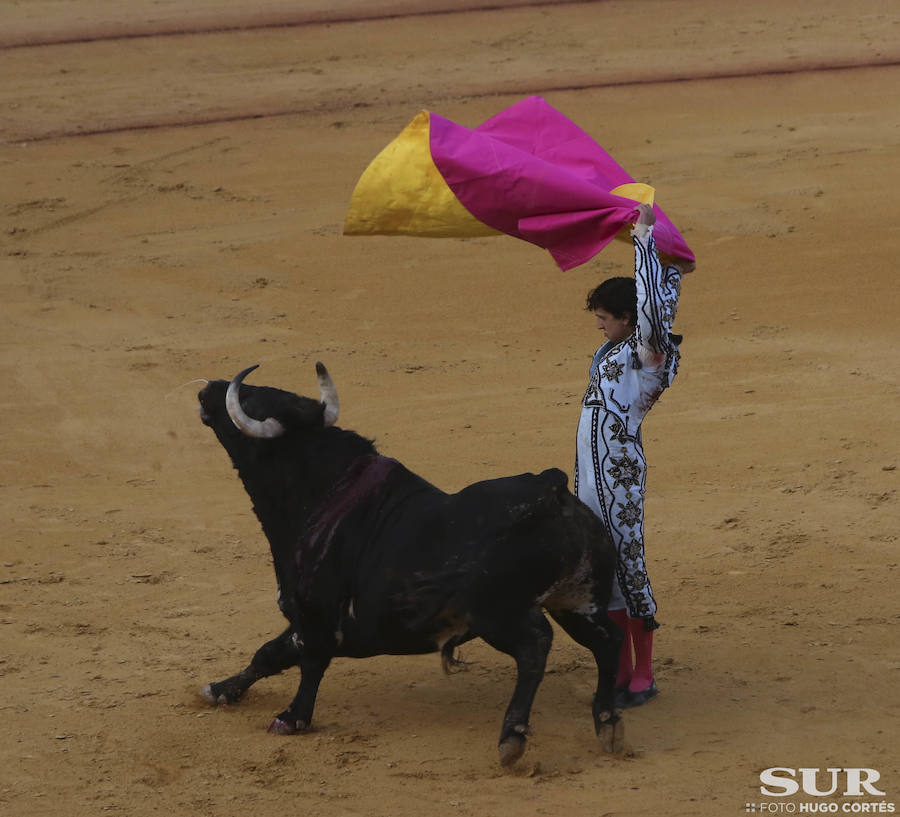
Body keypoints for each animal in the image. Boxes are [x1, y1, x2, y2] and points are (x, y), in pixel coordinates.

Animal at [195, 364, 624, 764]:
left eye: (251, 401)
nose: (208, 388)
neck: (322, 492)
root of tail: (550, 489)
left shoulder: (316, 614)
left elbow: (310, 663)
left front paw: (291, 717)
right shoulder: (304, 619)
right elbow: (269, 653)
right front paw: (219, 689)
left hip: (496, 613)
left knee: (535, 646)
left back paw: (512, 737)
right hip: (577, 603)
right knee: (609, 641)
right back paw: (607, 722)